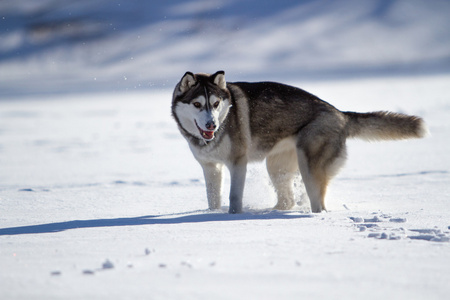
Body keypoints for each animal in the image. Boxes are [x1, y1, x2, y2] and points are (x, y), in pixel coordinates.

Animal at [171, 71, 428, 213]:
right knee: (287, 200)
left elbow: (234, 198)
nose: (211, 125)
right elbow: (212, 198)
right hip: (277, 166)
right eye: (197, 104)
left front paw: (232, 216)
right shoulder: (210, 167)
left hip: (309, 166)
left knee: (318, 205)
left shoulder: (238, 163)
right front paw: (212, 214)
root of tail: (340, 114)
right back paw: (272, 212)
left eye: (216, 104)